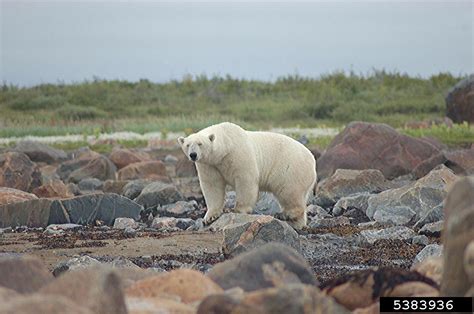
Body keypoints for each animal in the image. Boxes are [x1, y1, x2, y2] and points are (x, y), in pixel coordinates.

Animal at [180, 122, 316, 228]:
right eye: (187, 145)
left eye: (200, 143)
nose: (193, 155)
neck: (227, 145)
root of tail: (312, 160)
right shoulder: (209, 165)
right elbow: (212, 186)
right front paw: (210, 217)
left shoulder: (238, 154)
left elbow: (245, 180)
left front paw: (238, 210)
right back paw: (297, 223)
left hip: (290, 170)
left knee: (289, 192)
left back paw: (286, 214)